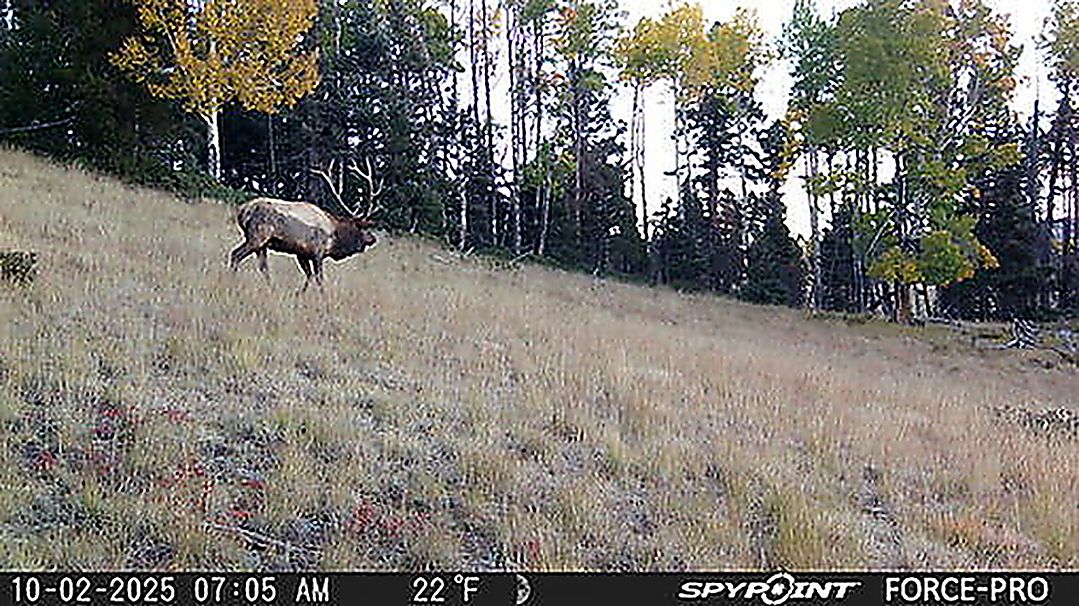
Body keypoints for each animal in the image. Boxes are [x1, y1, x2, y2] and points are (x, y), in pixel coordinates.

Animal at [229, 157, 383, 293]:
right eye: (364, 228)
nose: (374, 238)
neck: (334, 236)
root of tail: (242, 212)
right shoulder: (318, 252)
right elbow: (319, 278)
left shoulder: (301, 254)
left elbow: (309, 275)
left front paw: (299, 294)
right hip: (257, 236)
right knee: (235, 254)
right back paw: (233, 283)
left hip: (262, 245)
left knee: (263, 267)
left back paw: (270, 288)